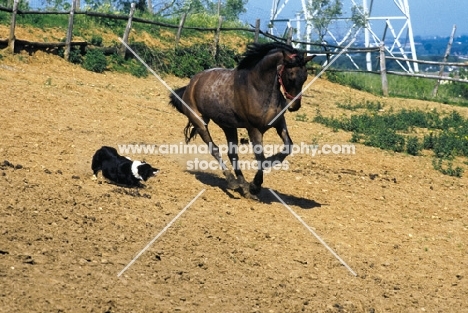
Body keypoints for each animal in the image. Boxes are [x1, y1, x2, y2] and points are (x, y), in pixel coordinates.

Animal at [169, 41, 314, 199]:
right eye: (291, 76)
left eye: (305, 77)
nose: (295, 106)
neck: (258, 88)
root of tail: (191, 84)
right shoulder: (254, 129)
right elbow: (260, 157)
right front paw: (255, 185)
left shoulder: (279, 123)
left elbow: (288, 146)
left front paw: (269, 164)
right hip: (200, 123)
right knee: (214, 149)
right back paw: (233, 181)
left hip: (228, 126)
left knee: (232, 154)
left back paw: (243, 186)